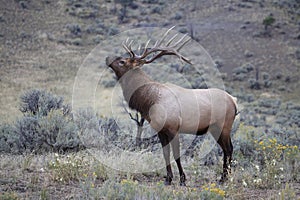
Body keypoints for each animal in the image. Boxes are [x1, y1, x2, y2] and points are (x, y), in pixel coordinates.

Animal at [105, 27, 237, 186]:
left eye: (122, 61)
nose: (107, 58)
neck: (149, 101)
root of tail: (234, 101)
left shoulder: (173, 128)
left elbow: (176, 154)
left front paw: (182, 179)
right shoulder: (160, 130)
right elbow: (165, 153)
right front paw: (168, 178)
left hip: (224, 125)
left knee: (229, 149)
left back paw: (224, 178)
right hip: (215, 128)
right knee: (226, 149)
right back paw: (224, 177)